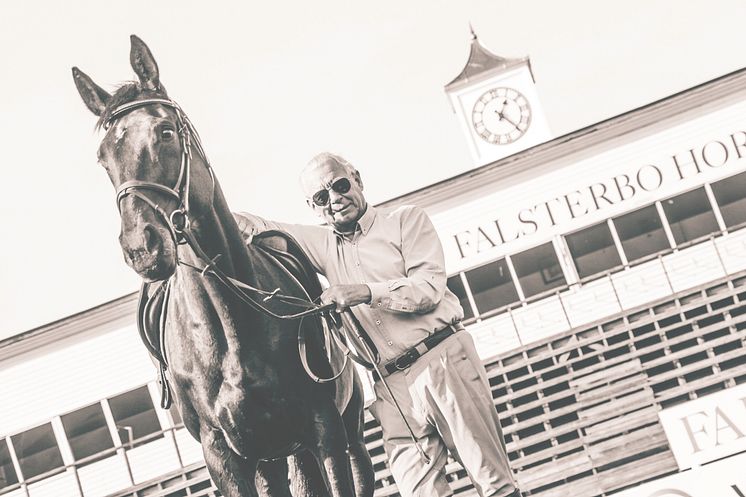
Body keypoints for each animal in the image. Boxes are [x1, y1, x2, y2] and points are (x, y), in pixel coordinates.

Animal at [71, 35, 372, 496]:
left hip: (344, 437)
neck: (231, 327)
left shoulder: (326, 434)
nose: (142, 246)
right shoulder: (224, 457)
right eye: (105, 158)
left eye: (165, 131)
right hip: (274, 457)